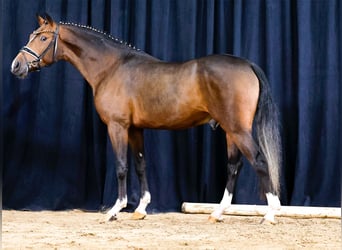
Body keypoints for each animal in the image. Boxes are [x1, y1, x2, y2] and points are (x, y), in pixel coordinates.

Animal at [12, 14, 282, 224]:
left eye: (43, 38)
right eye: (32, 35)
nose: (16, 66)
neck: (112, 67)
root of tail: (247, 64)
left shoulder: (117, 127)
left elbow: (122, 166)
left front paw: (114, 210)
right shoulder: (135, 129)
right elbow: (140, 165)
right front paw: (140, 209)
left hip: (237, 129)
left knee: (259, 161)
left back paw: (270, 213)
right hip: (230, 131)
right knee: (234, 166)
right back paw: (217, 213)